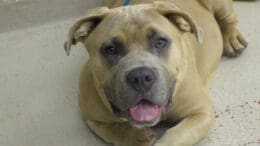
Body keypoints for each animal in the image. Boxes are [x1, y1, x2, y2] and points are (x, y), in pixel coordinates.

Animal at [64, 0, 247, 146]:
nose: (140, 77)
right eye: (110, 49)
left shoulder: (201, 112)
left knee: (229, 19)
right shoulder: (93, 120)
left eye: (160, 42)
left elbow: (175, 136)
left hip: (220, 6)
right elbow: (116, 130)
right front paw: (137, 136)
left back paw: (232, 38)